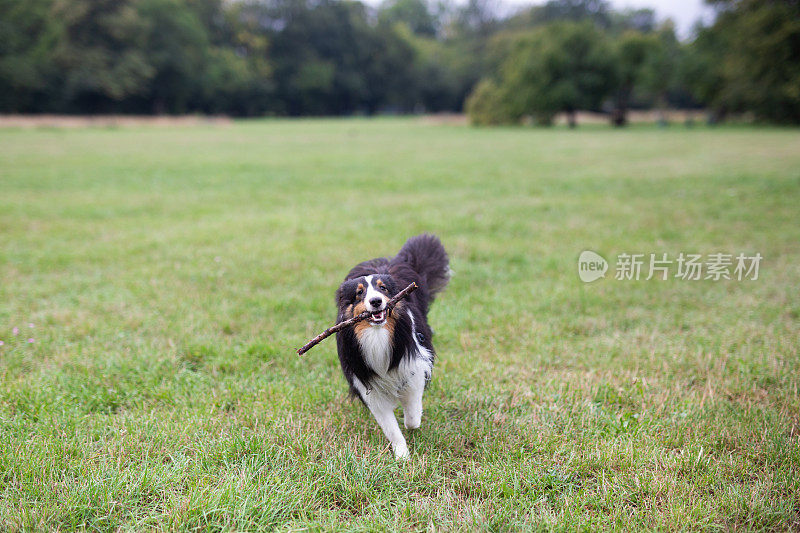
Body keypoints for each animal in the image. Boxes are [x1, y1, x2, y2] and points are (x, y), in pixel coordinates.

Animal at [334, 233, 450, 458]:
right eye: (359, 293)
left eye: (383, 289)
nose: (376, 301)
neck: (377, 334)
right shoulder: (368, 388)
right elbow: (390, 426)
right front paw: (402, 455)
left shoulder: (414, 365)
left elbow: (412, 414)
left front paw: (411, 422)